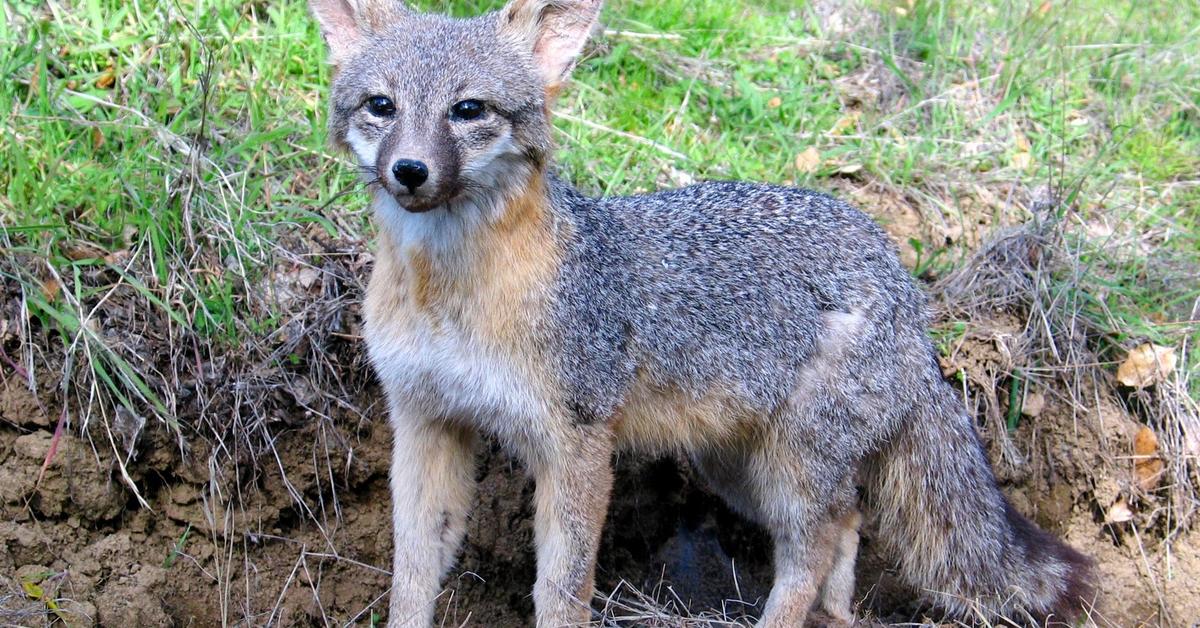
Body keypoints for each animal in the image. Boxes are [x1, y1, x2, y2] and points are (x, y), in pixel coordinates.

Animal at [307, 1, 1099, 624]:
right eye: (381, 106)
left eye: (468, 110)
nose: (410, 171)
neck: (448, 296)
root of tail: (900, 276)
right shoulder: (425, 421)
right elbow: (413, 576)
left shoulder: (577, 445)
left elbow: (562, 591)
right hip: (739, 470)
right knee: (847, 520)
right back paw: (836, 616)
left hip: (788, 468)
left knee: (815, 545)